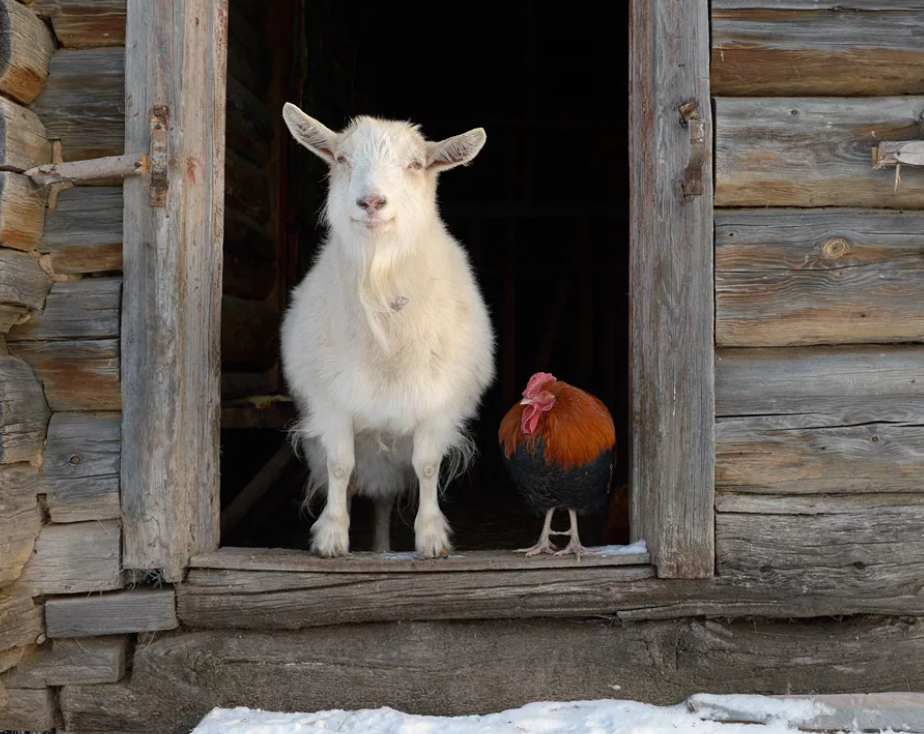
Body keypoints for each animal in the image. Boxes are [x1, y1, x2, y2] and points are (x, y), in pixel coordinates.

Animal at [280, 105, 494, 556]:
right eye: (342, 158)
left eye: (414, 164)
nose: (372, 201)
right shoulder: (331, 401)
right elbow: (339, 465)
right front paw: (331, 536)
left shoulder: (437, 403)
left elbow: (427, 466)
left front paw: (431, 538)